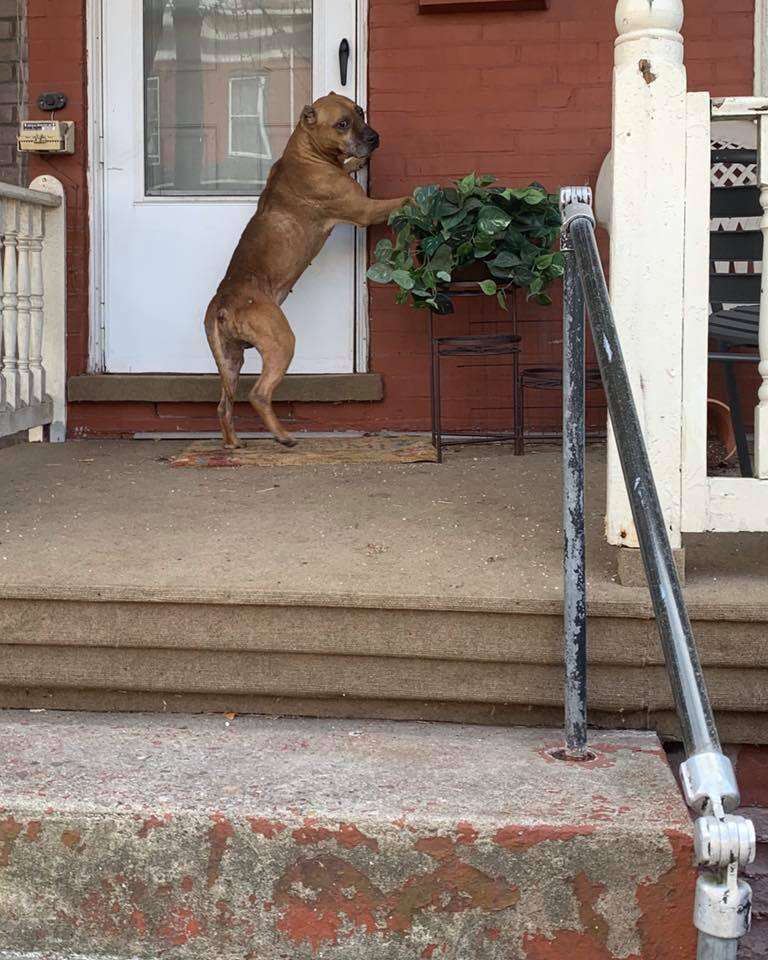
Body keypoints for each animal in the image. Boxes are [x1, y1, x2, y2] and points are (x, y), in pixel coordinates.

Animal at [204, 92, 408, 448]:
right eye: (342, 124)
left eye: (360, 112)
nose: (374, 138)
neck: (306, 151)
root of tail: (224, 303)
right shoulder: (367, 210)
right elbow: (402, 201)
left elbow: (349, 165)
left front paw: (356, 163)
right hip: (281, 343)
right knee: (259, 393)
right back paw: (284, 437)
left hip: (229, 360)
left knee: (223, 405)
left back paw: (233, 444)